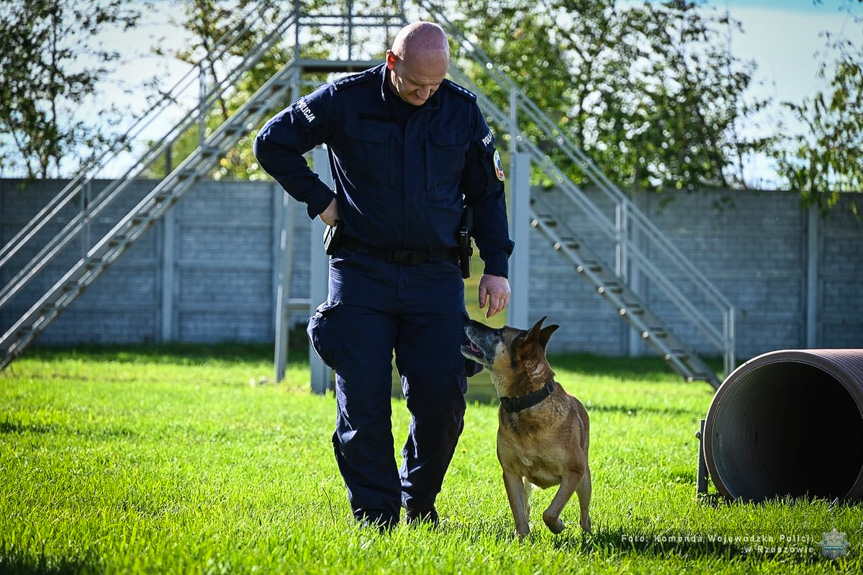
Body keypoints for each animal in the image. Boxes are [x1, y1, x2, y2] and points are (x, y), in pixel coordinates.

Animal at [462, 316, 592, 540]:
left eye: (498, 333)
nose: (468, 320)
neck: (526, 402)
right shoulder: (511, 474)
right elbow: (519, 512)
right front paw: (522, 538)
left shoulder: (574, 473)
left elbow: (550, 512)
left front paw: (558, 525)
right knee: (526, 506)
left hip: (584, 480)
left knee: (584, 514)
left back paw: (587, 532)